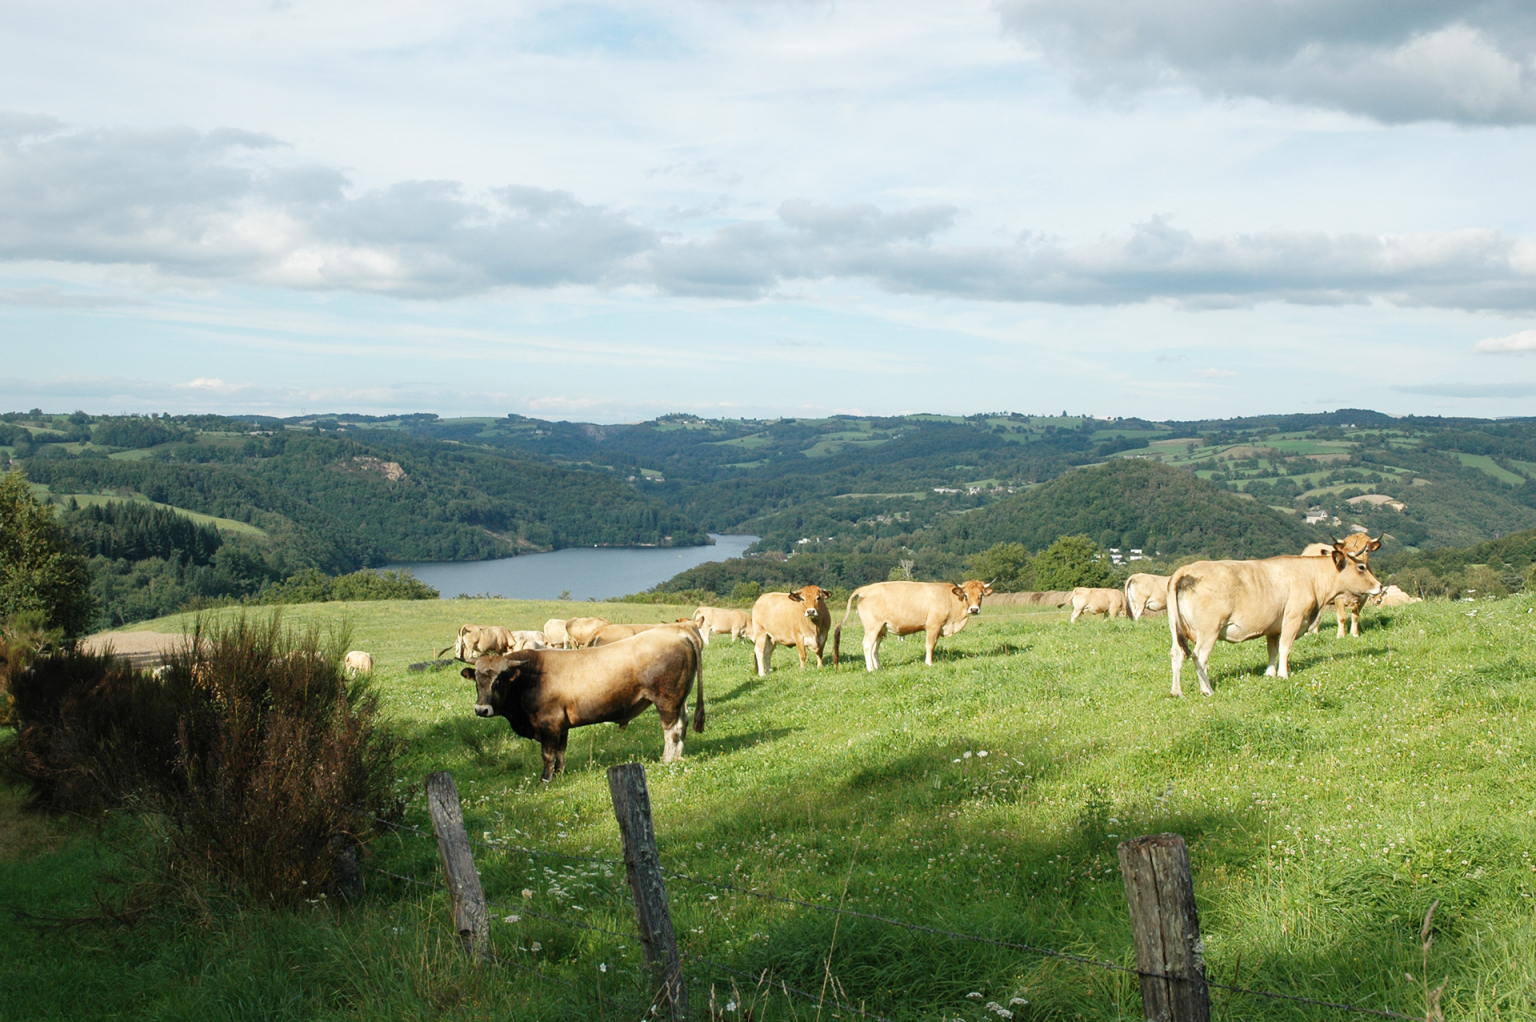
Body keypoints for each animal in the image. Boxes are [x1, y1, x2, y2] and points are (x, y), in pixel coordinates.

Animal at [463, 620, 703, 780]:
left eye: (500, 680)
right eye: (477, 680)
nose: (481, 709)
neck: (530, 676)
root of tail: (680, 633)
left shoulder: (548, 723)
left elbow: (548, 754)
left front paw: (545, 779)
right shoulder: (561, 725)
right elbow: (561, 751)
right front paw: (560, 774)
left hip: (667, 701)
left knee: (671, 730)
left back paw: (666, 760)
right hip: (680, 700)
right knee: (682, 725)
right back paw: (677, 757)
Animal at [835, 580, 989, 670]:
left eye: (981, 595)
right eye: (966, 595)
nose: (974, 609)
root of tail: (866, 589)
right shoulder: (933, 625)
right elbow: (930, 645)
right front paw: (929, 663)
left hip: (881, 628)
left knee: (874, 648)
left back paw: (879, 667)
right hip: (873, 627)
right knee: (867, 645)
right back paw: (870, 669)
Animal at [1167, 537, 1388, 697]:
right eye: (1361, 567)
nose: (1380, 586)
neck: (1311, 576)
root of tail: (1186, 569)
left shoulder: (1273, 627)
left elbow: (1272, 650)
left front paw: (1270, 674)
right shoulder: (1294, 618)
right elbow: (1285, 648)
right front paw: (1283, 674)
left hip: (1176, 629)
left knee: (1177, 654)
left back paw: (1177, 691)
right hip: (1209, 630)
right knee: (1199, 656)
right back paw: (1207, 690)